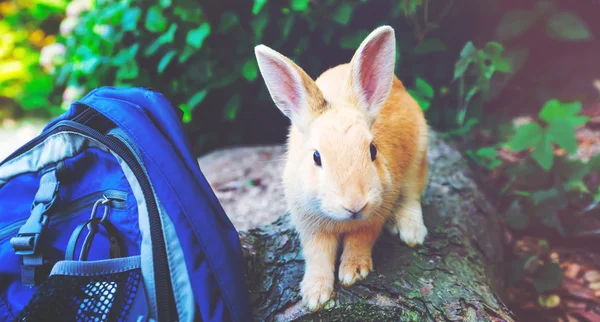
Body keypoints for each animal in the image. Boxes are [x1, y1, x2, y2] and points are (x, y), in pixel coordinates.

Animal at [252, 25, 426, 312]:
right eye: (316, 157)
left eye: (373, 150)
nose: (355, 204)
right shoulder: (310, 226)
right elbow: (318, 255)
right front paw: (315, 295)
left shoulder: (373, 216)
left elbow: (359, 240)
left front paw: (353, 272)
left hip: (418, 156)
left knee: (413, 196)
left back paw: (412, 233)